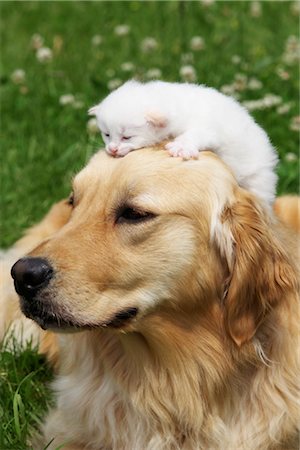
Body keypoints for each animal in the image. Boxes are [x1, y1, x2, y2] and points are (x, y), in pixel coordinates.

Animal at [88, 80, 276, 203]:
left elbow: (194, 135)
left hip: (258, 179)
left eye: (127, 137)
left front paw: (181, 147)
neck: (171, 101)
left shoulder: (207, 127)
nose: (112, 149)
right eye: (106, 134)